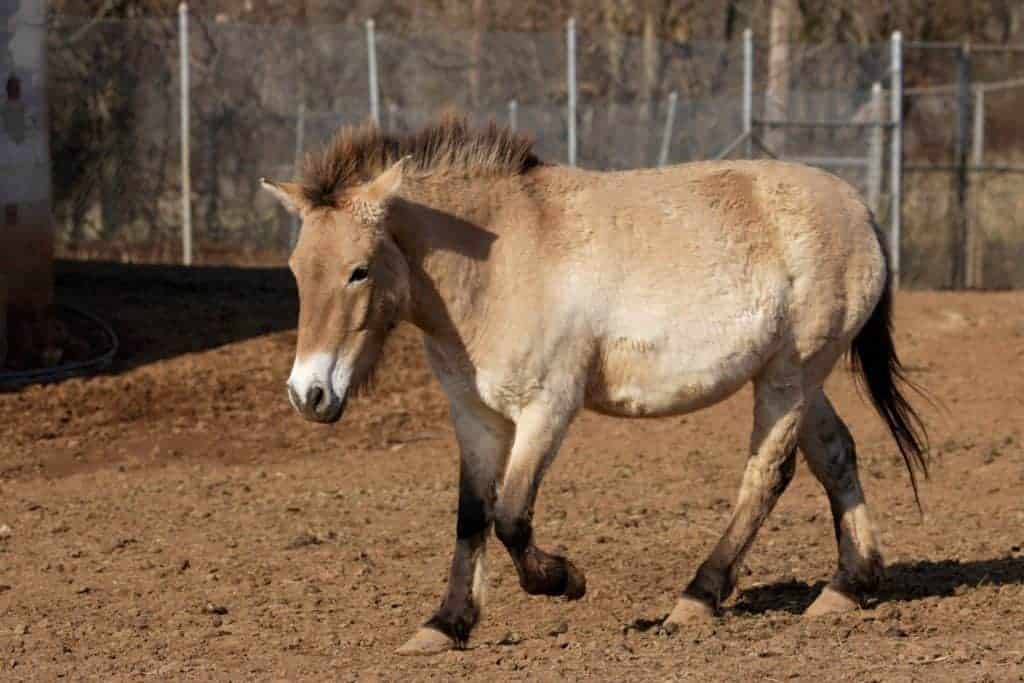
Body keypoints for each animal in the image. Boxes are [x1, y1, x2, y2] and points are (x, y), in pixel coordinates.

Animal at [260, 116, 927, 655]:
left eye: (358, 271)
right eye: (296, 270)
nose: (307, 394)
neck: (497, 265)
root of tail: (859, 209)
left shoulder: (548, 408)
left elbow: (512, 516)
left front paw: (563, 580)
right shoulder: (475, 415)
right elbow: (473, 515)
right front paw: (445, 625)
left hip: (792, 373)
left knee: (769, 473)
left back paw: (697, 598)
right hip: (796, 375)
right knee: (835, 454)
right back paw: (847, 588)